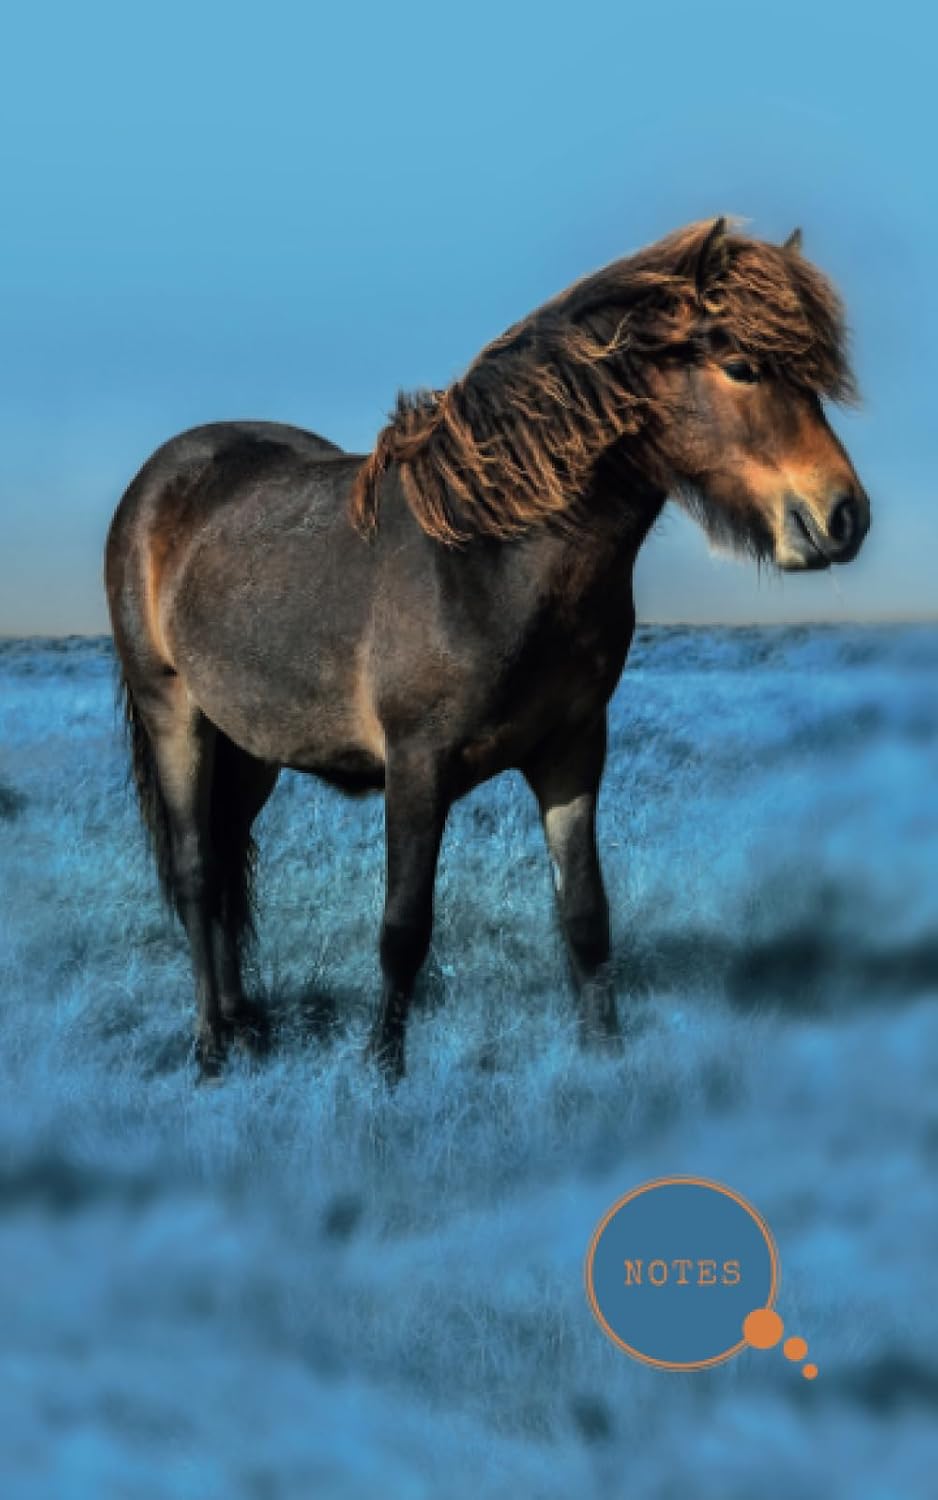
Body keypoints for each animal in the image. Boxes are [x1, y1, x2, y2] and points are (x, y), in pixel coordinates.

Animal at [105, 217, 870, 1081]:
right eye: (741, 367)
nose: (843, 516)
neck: (491, 558)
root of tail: (161, 481)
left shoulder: (573, 753)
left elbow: (585, 912)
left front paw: (605, 1055)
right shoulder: (417, 769)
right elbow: (404, 926)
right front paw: (383, 1071)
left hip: (251, 742)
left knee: (231, 856)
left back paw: (246, 1026)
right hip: (176, 713)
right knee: (199, 871)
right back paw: (210, 1047)